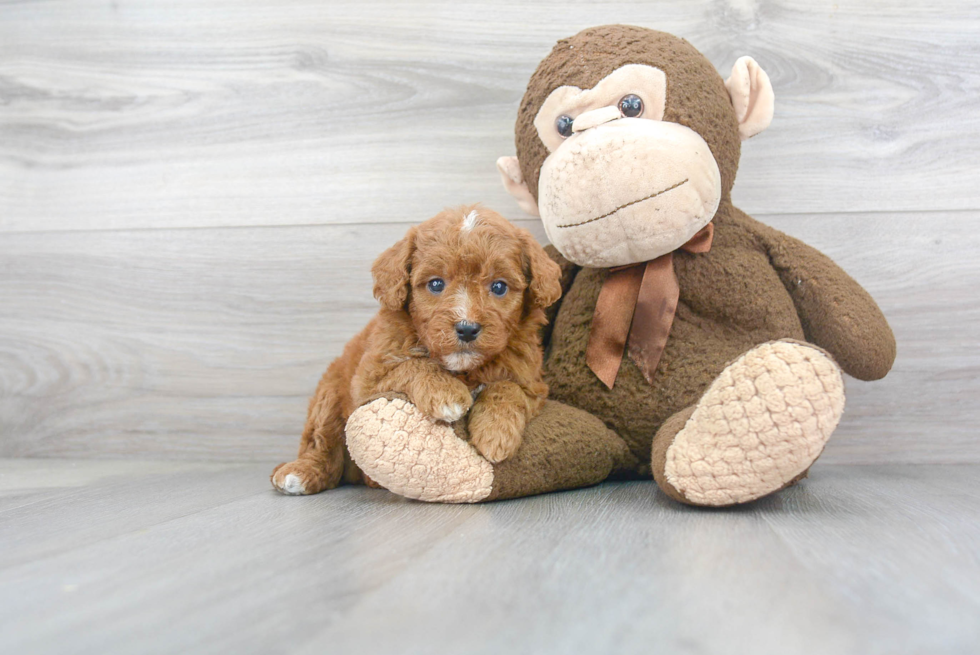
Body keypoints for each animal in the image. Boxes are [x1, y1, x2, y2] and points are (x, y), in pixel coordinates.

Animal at [272, 205, 564, 498]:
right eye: (435, 284)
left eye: (499, 286)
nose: (467, 328)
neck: (462, 369)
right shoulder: (369, 377)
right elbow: (412, 364)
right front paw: (447, 394)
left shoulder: (531, 381)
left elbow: (507, 387)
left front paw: (495, 433)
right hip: (329, 393)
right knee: (322, 443)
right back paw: (300, 472)